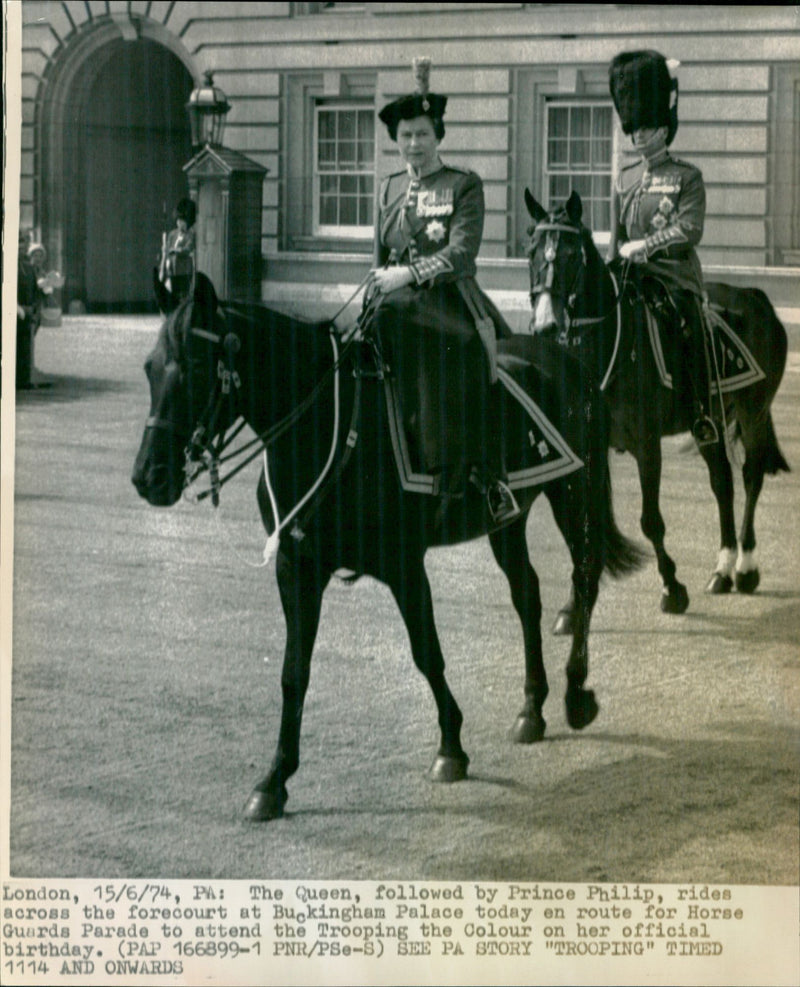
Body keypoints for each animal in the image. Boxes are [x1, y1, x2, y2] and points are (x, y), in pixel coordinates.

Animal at [133, 274, 644, 824]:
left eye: (196, 367)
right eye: (149, 368)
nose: (148, 478)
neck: (325, 426)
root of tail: (565, 359)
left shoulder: (403, 565)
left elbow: (427, 654)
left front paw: (450, 747)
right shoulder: (297, 567)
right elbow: (294, 672)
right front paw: (274, 780)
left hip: (575, 494)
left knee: (584, 582)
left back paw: (575, 693)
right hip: (508, 521)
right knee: (527, 596)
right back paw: (532, 708)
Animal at [524, 189, 788, 628]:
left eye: (570, 254)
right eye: (530, 251)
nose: (545, 326)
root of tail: (757, 296)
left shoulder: (647, 445)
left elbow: (651, 521)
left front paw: (672, 589)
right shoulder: (590, 449)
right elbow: (585, 526)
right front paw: (573, 608)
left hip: (753, 412)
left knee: (751, 476)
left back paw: (745, 566)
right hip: (709, 422)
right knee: (722, 482)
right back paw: (722, 569)